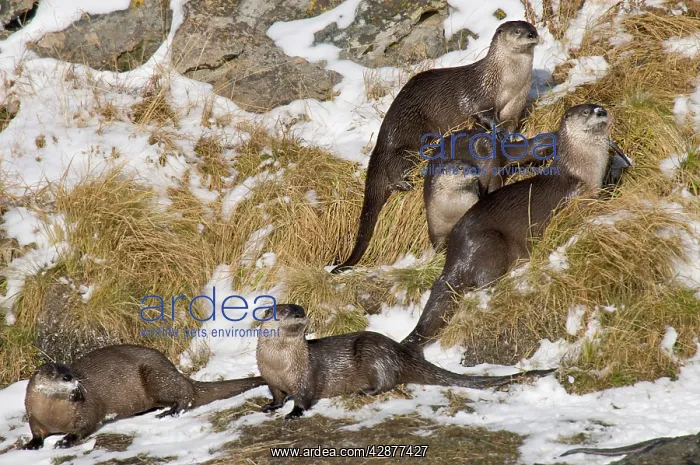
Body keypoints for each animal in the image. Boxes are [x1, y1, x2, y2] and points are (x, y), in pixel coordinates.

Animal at [23, 344, 265, 449]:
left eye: (70, 371)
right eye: (53, 373)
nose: (68, 377)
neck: (54, 415)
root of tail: (176, 370)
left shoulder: (86, 409)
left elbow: (84, 426)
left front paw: (65, 440)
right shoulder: (33, 416)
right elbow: (36, 432)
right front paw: (31, 444)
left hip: (157, 376)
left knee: (185, 395)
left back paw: (170, 411)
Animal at [255, 304, 555, 419]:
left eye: (301, 309)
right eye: (284, 311)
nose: (300, 314)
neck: (280, 365)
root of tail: (400, 352)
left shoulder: (307, 376)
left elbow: (304, 397)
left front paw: (293, 413)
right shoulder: (270, 378)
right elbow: (277, 395)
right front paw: (270, 407)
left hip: (373, 354)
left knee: (387, 381)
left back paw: (364, 390)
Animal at [331, 20, 539, 273]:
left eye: (531, 27)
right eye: (517, 31)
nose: (532, 34)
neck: (508, 83)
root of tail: (383, 137)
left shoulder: (514, 108)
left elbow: (509, 127)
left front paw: (507, 138)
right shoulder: (479, 95)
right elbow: (482, 113)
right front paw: (494, 130)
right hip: (409, 139)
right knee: (394, 164)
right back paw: (403, 183)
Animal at [403, 104, 627, 349]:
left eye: (597, 106)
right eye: (586, 112)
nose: (601, 111)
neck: (582, 171)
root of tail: (455, 254)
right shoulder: (576, 196)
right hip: (489, 242)